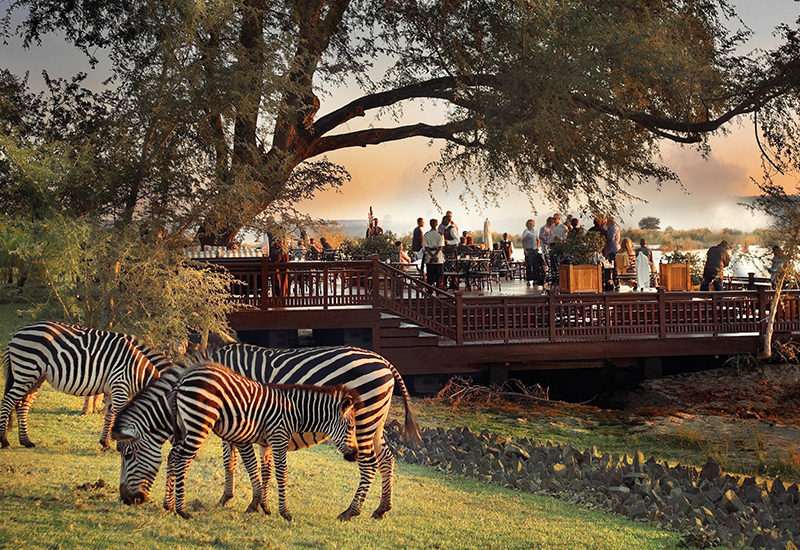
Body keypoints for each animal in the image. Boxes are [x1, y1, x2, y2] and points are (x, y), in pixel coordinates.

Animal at [1, 322, 172, 450]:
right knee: (8, 402)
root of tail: (17, 333)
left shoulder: (112, 390)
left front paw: (105, 443)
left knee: (22, 404)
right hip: (27, 371)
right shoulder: (120, 386)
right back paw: (5, 441)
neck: (139, 370)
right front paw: (120, 446)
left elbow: (109, 415)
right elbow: (117, 415)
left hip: (36, 376)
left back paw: (26, 441)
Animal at [116, 344, 424, 520]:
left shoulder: (241, 419)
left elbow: (244, 462)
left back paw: (351, 511)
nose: (126, 500)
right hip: (375, 421)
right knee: (386, 459)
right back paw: (381, 509)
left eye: (128, 454)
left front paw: (252, 502)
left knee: (369, 464)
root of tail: (384, 361)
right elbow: (237, 462)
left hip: (363, 418)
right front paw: (238, 498)